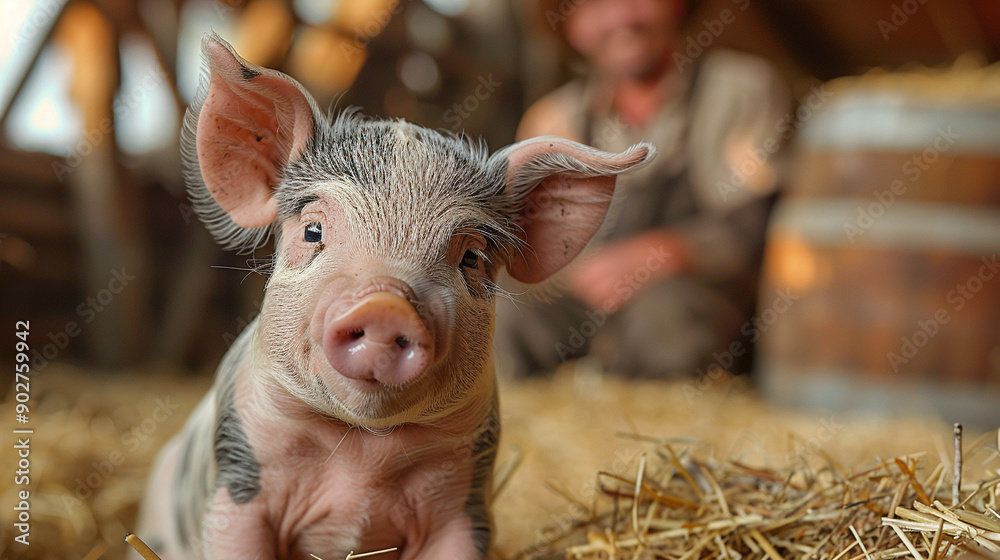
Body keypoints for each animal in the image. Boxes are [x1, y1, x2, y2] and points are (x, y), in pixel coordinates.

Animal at [135, 33, 653, 560]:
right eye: (313, 231)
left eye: (471, 257)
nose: (386, 305)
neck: (360, 451)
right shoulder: (238, 484)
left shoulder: (463, 501)